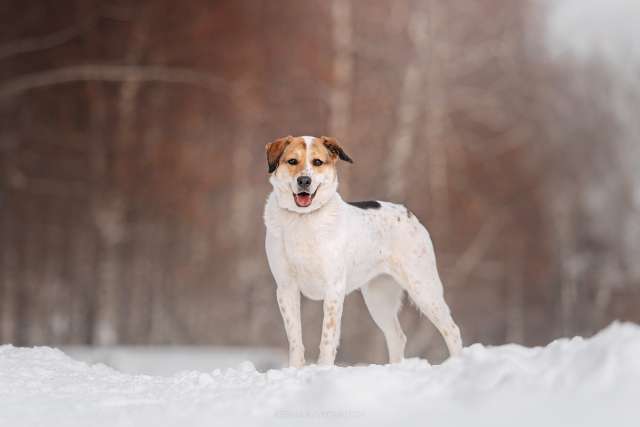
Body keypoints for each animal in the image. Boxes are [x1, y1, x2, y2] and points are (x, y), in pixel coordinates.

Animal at [262, 135, 462, 368]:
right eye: (292, 161)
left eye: (317, 162)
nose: (304, 181)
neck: (302, 219)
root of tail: (408, 212)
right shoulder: (286, 288)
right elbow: (295, 338)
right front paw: (296, 369)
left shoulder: (333, 288)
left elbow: (327, 339)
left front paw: (323, 369)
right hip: (379, 297)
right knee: (397, 336)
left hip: (423, 287)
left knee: (452, 330)